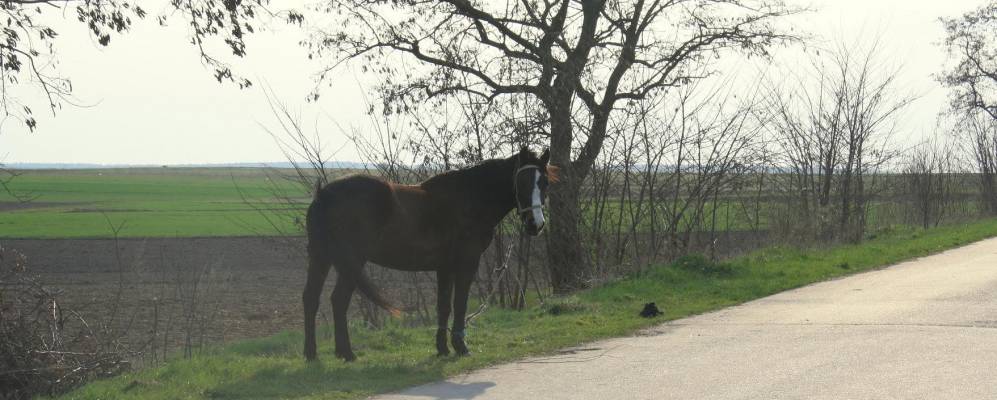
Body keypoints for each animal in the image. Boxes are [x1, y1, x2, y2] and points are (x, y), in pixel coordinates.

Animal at [300, 148, 556, 360]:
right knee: (338, 300)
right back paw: (346, 353)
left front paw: (442, 348)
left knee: (312, 298)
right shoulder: (466, 263)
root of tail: (323, 194)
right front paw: (461, 347)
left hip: (322, 257)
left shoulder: (445, 267)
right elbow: (459, 304)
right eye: (521, 181)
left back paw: (313, 354)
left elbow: (443, 306)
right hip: (351, 261)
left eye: (544, 183)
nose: (535, 224)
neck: (470, 198)